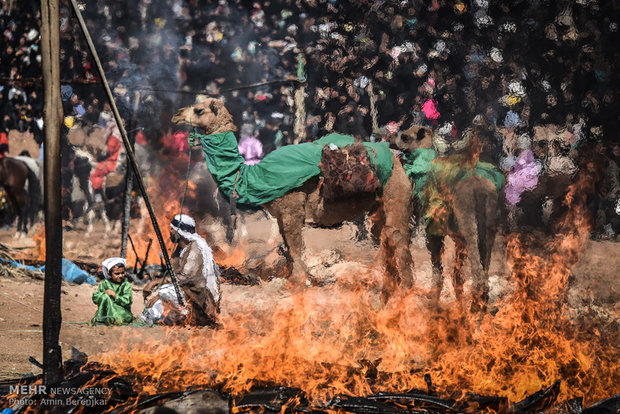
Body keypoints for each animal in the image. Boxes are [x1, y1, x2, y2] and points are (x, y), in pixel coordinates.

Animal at [172, 98, 414, 300]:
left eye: (199, 109)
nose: (176, 115)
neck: (254, 176)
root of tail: (396, 159)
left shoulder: (292, 210)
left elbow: (297, 250)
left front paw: (295, 286)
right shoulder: (280, 215)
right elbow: (288, 249)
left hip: (396, 194)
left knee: (398, 240)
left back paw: (404, 290)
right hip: (378, 208)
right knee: (386, 240)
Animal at [388, 124, 504, 312]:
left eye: (404, 136)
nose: (389, 138)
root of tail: (479, 186)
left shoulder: (434, 228)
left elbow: (437, 266)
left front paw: (433, 303)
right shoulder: (457, 238)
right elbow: (456, 272)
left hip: (466, 216)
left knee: (476, 261)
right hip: (489, 219)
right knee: (485, 254)